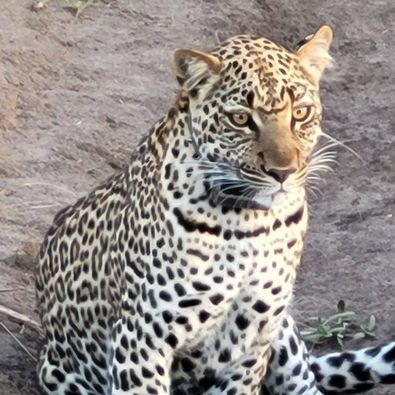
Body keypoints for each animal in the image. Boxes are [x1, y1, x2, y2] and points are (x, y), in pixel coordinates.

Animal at [35, 25, 394, 395]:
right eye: (240, 119)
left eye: (300, 113)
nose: (283, 172)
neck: (249, 223)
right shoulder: (140, 337)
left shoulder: (253, 340)